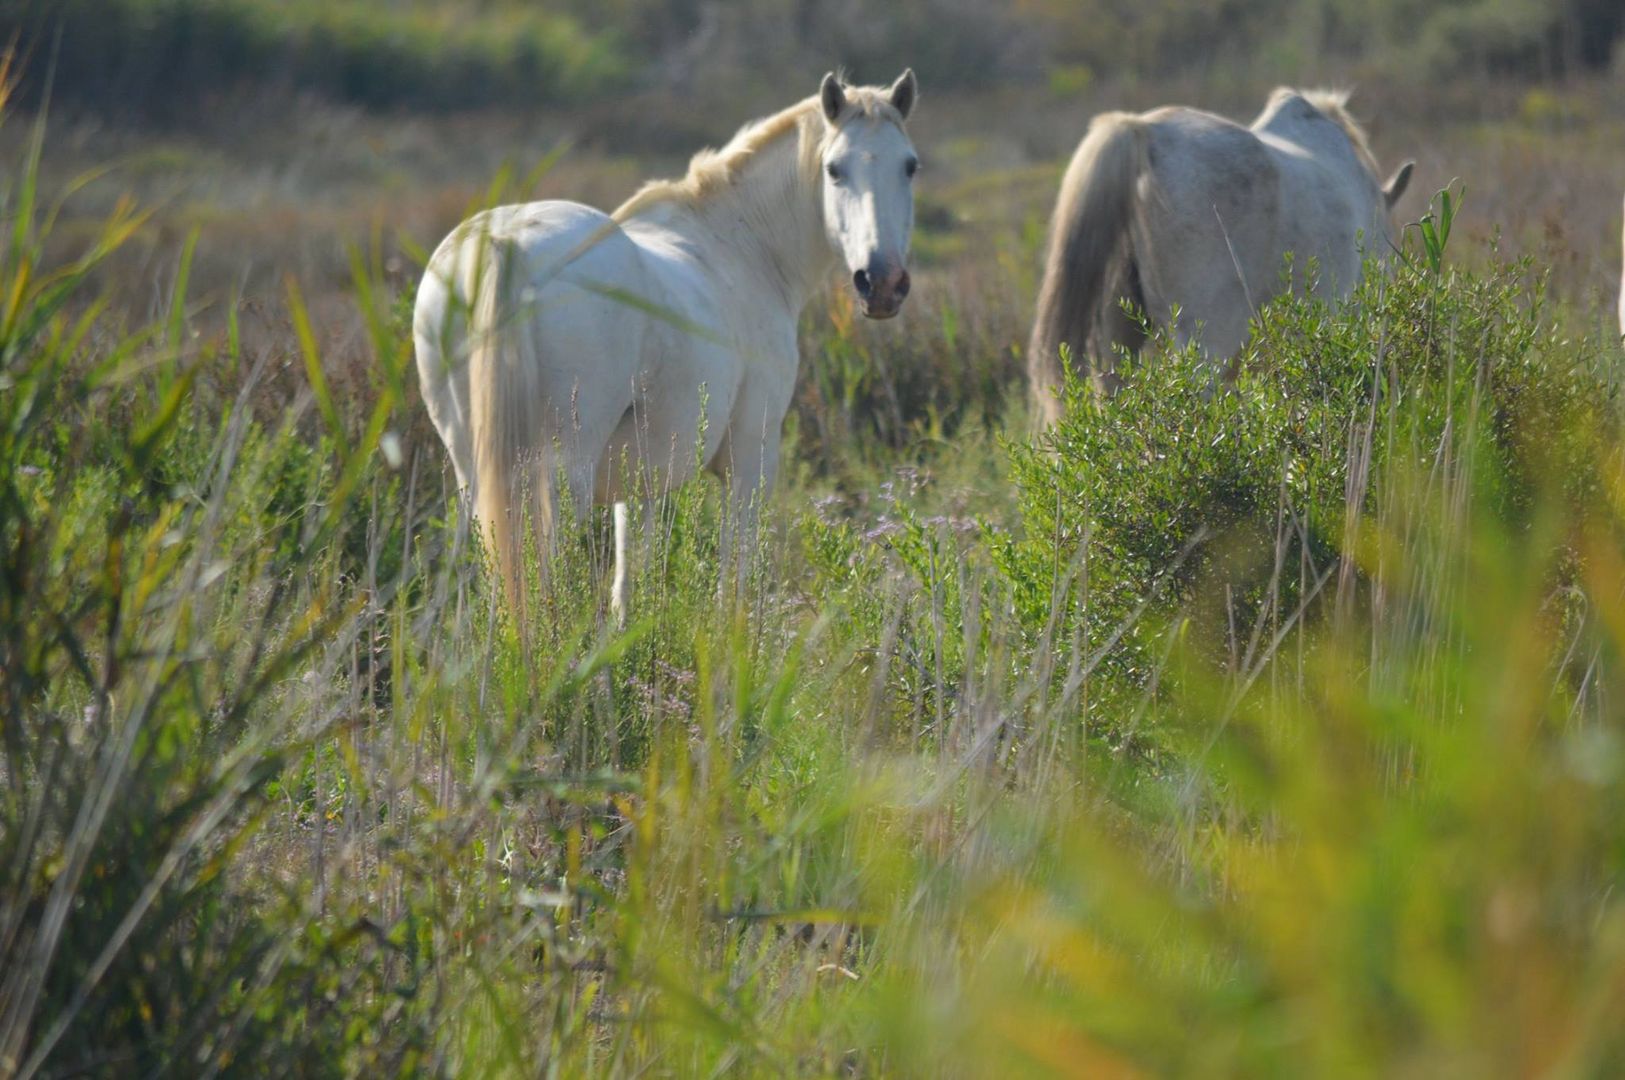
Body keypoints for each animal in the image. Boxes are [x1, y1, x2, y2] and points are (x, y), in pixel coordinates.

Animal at [412, 71, 923, 613]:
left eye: (909, 166)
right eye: (834, 169)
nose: (882, 283)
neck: (740, 246)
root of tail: (504, 243)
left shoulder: (639, 485)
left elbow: (629, 579)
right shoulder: (750, 460)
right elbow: (734, 581)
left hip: (477, 473)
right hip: (561, 474)